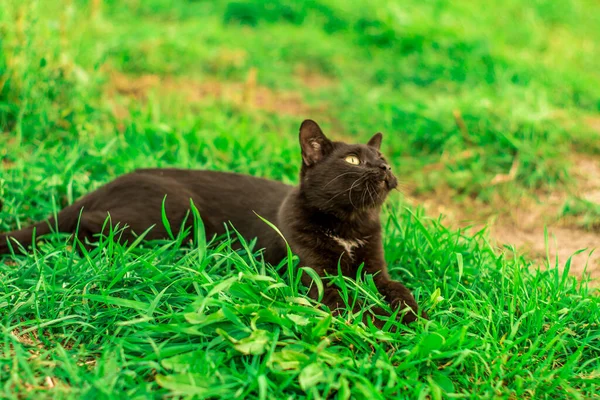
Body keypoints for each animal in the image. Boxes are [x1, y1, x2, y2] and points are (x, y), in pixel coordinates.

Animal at [1, 119, 422, 324]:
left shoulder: (375, 268)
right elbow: (348, 301)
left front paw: (411, 313)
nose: (385, 168)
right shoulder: (316, 276)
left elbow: (397, 286)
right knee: (83, 226)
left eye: (382, 157)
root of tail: (108, 184)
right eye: (353, 160)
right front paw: (382, 322)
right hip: (171, 212)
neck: (348, 225)